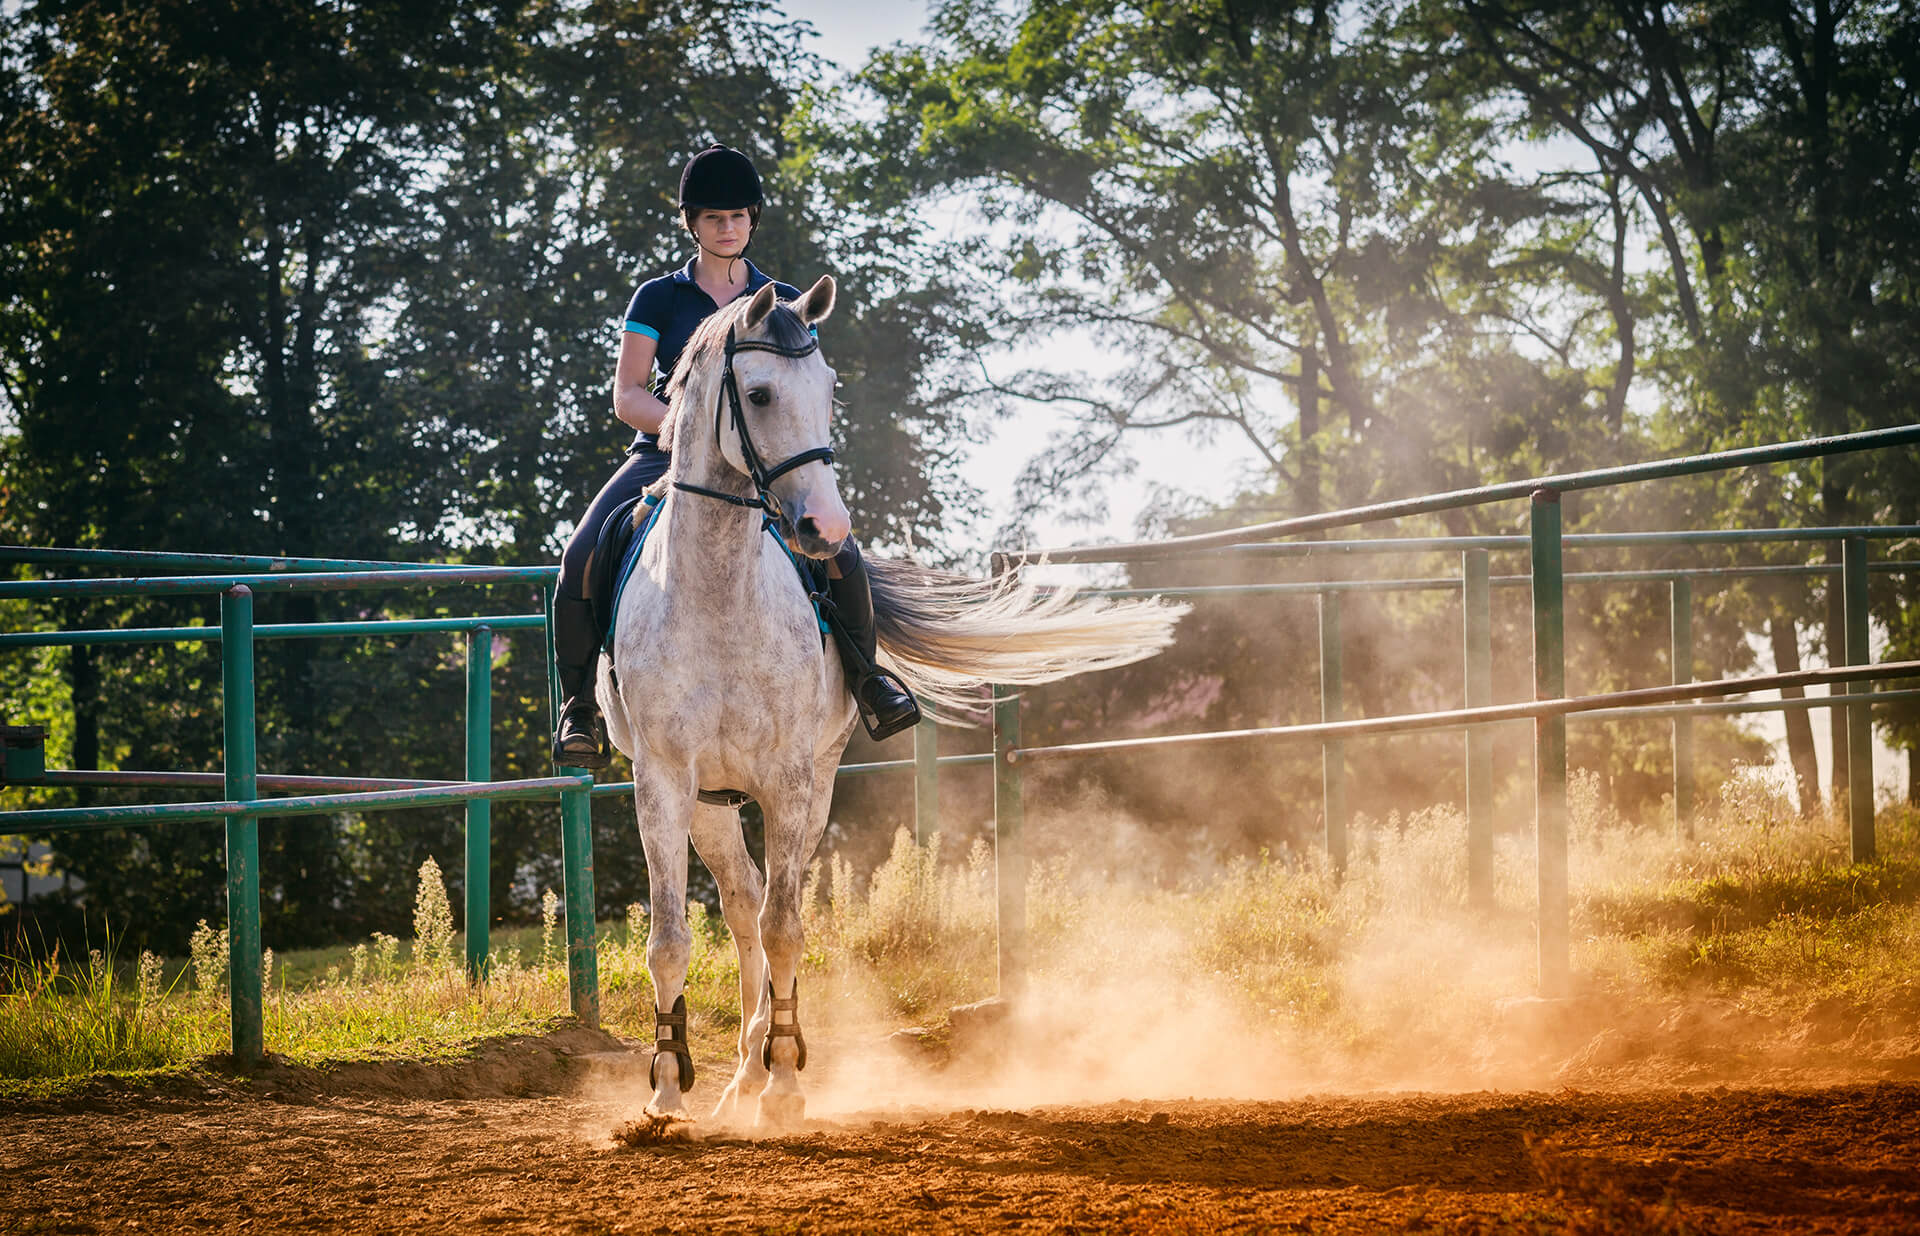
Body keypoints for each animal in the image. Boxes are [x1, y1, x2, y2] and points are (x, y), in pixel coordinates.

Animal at [597, 274, 1185, 1128]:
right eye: (761, 392)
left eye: (830, 388)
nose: (823, 526)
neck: (717, 593)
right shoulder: (663, 780)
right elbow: (672, 938)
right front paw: (667, 1090)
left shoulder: (790, 779)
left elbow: (787, 927)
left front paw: (785, 1083)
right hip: (709, 800)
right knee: (740, 907)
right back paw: (734, 1075)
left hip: (809, 785)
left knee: (767, 913)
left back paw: (759, 1068)